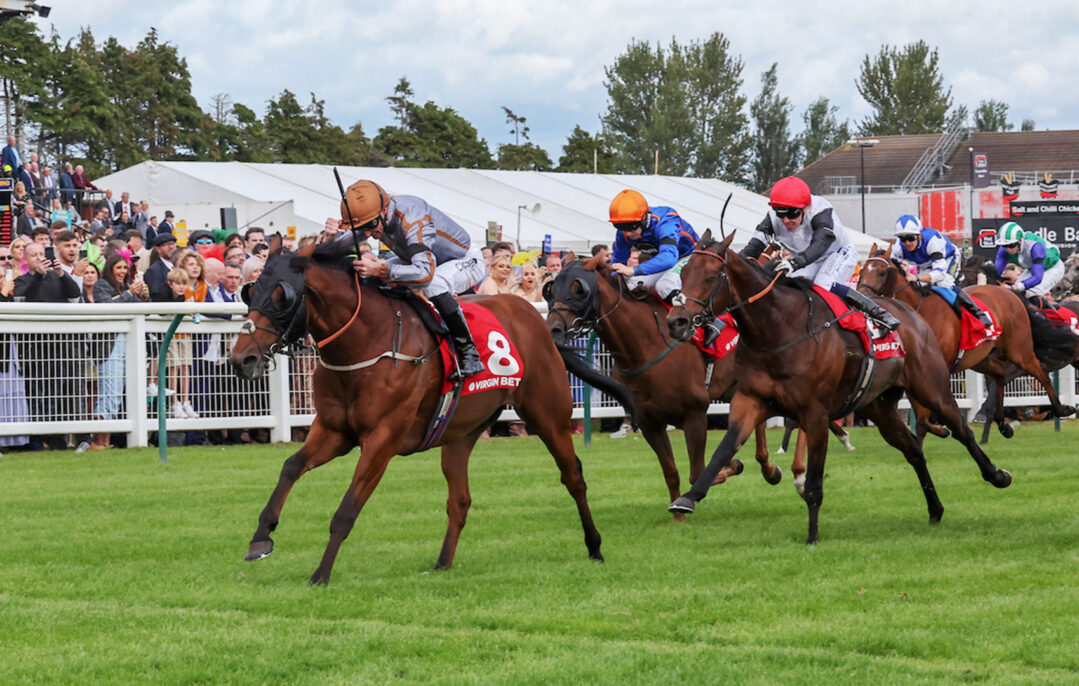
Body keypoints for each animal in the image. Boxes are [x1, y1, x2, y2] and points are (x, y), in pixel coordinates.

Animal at [230, 237, 630, 582]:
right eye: (250, 290)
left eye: (282, 295)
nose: (241, 358)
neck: (366, 341)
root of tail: (538, 321)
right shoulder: (334, 431)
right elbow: (291, 466)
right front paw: (261, 538)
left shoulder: (382, 440)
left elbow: (346, 511)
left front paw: (321, 575)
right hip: (460, 432)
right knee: (461, 500)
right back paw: (442, 563)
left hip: (549, 416)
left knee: (573, 476)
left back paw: (595, 547)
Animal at [664, 232, 1009, 543]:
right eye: (684, 273)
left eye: (711, 276)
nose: (676, 322)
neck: (778, 329)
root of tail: (910, 314)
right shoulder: (750, 400)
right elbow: (724, 449)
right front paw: (688, 498)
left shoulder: (815, 414)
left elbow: (814, 481)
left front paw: (812, 536)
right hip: (879, 407)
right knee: (913, 449)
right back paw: (935, 509)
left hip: (932, 387)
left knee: (961, 429)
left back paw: (996, 473)